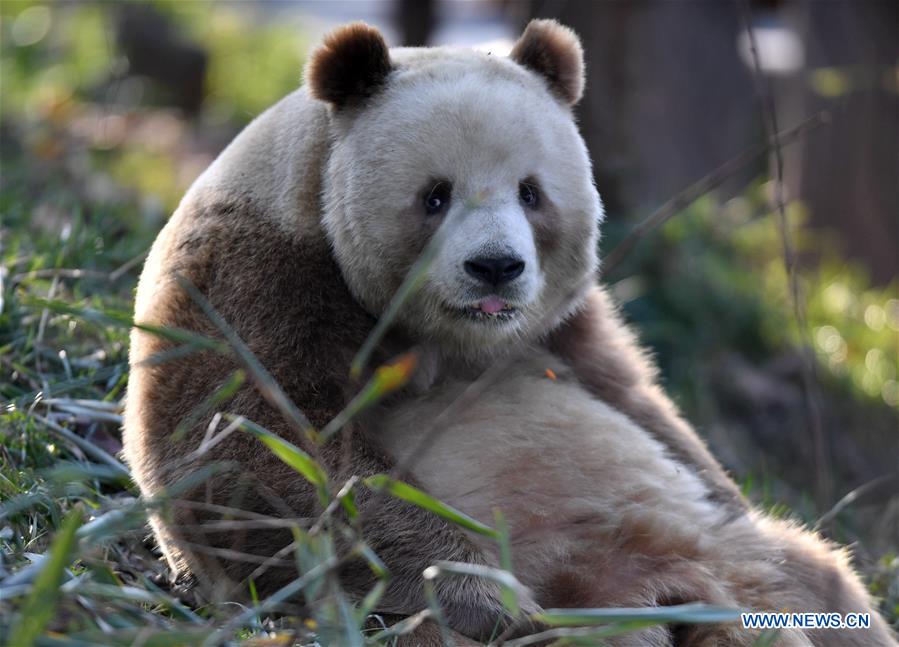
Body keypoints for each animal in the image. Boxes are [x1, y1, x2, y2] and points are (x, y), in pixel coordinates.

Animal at [123, 17, 896, 644]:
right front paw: (493, 600)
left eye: (531, 192)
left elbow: (643, 404)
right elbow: (255, 451)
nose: (495, 267)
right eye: (434, 196)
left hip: (762, 559)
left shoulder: (567, 325)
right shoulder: (258, 276)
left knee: (824, 581)